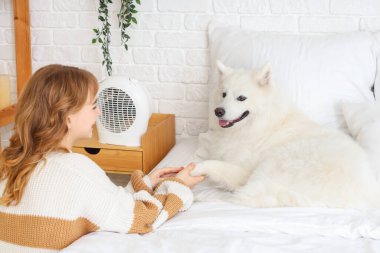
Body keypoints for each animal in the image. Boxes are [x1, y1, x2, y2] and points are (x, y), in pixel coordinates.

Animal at [191, 61, 380, 210]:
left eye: (241, 98)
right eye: (223, 94)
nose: (218, 111)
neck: (261, 124)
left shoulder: (243, 171)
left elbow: (214, 165)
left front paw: (196, 168)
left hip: (274, 162)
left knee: (245, 198)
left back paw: (205, 195)